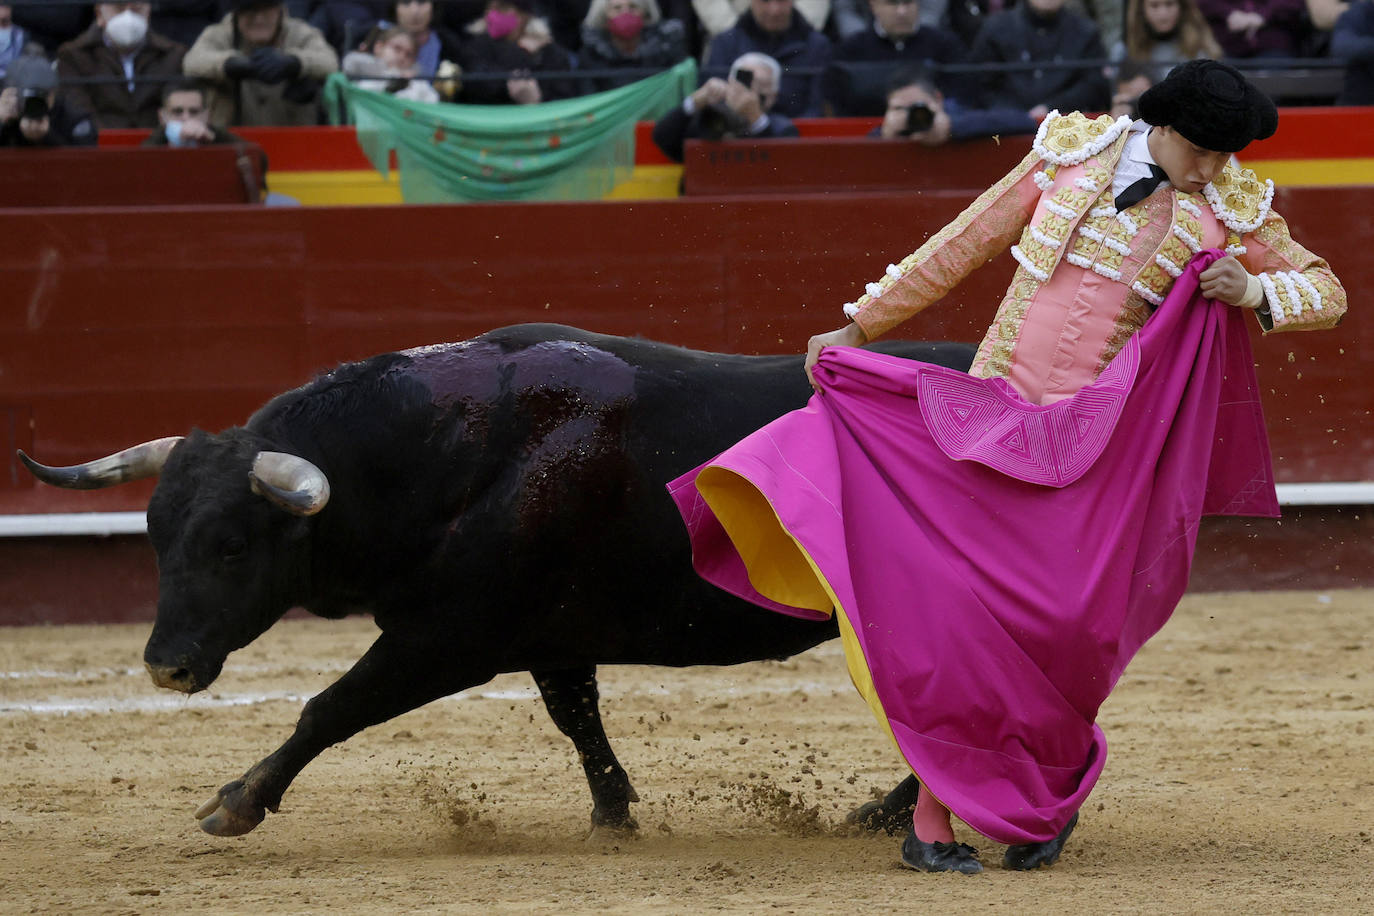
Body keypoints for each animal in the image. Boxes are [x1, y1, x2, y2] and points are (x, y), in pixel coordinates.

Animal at [16, 324, 972, 840]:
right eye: (156, 535)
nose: (166, 664)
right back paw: (889, 813)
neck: (452, 451)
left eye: (230, 546)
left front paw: (238, 801)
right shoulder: (547, 636)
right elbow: (576, 718)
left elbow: (330, 706)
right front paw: (614, 816)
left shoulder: (451, 639)